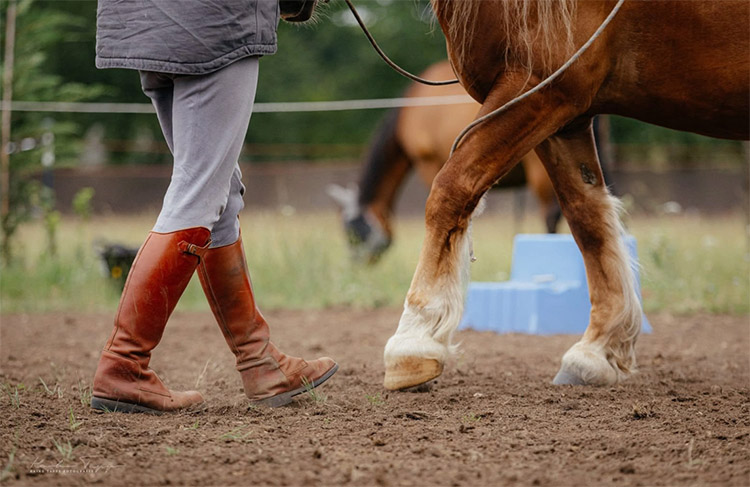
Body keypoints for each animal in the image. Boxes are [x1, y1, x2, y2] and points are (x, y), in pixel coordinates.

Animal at [382, 0, 749, 390]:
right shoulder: (564, 116)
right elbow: (586, 216)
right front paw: (597, 349)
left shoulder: (536, 89)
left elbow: (452, 188)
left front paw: (413, 341)